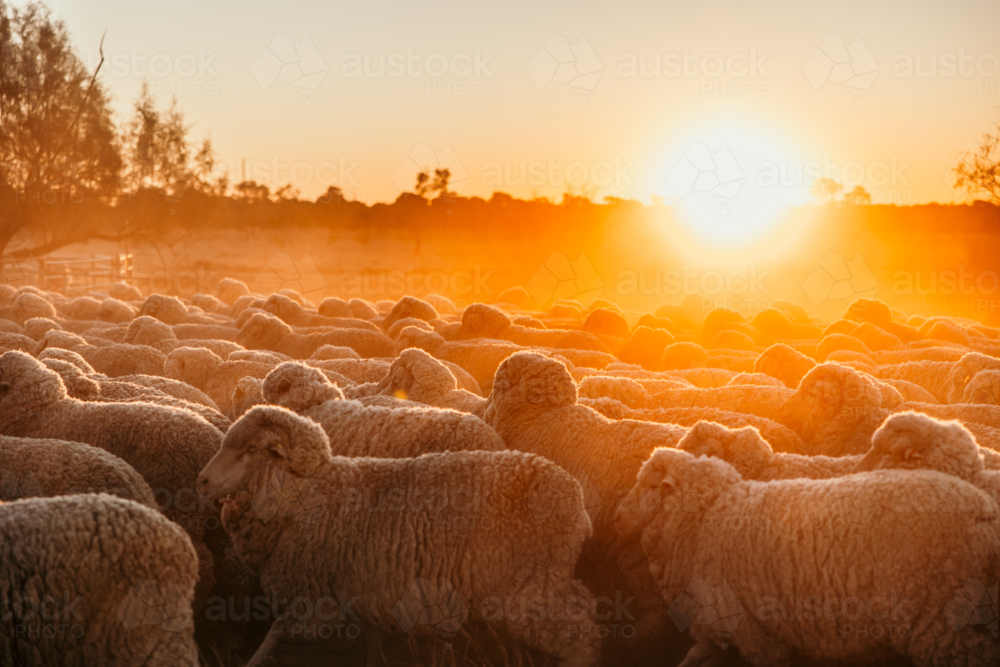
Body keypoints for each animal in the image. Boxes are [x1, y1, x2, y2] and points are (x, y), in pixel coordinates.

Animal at [197, 406, 600, 667]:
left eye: (249, 450)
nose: (202, 480)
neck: (301, 495)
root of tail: (576, 497)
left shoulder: (310, 595)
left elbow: (274, 639)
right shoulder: (365, 588)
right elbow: (371, 640)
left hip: (527, 588)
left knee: (581, 638)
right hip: (547, 580)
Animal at [615, 447, 1000, 667]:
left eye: (647, 484)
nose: (616, 515)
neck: (707, 516)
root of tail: (985, 511)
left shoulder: (756, 634)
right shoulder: (722, 636)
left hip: (942, 620)